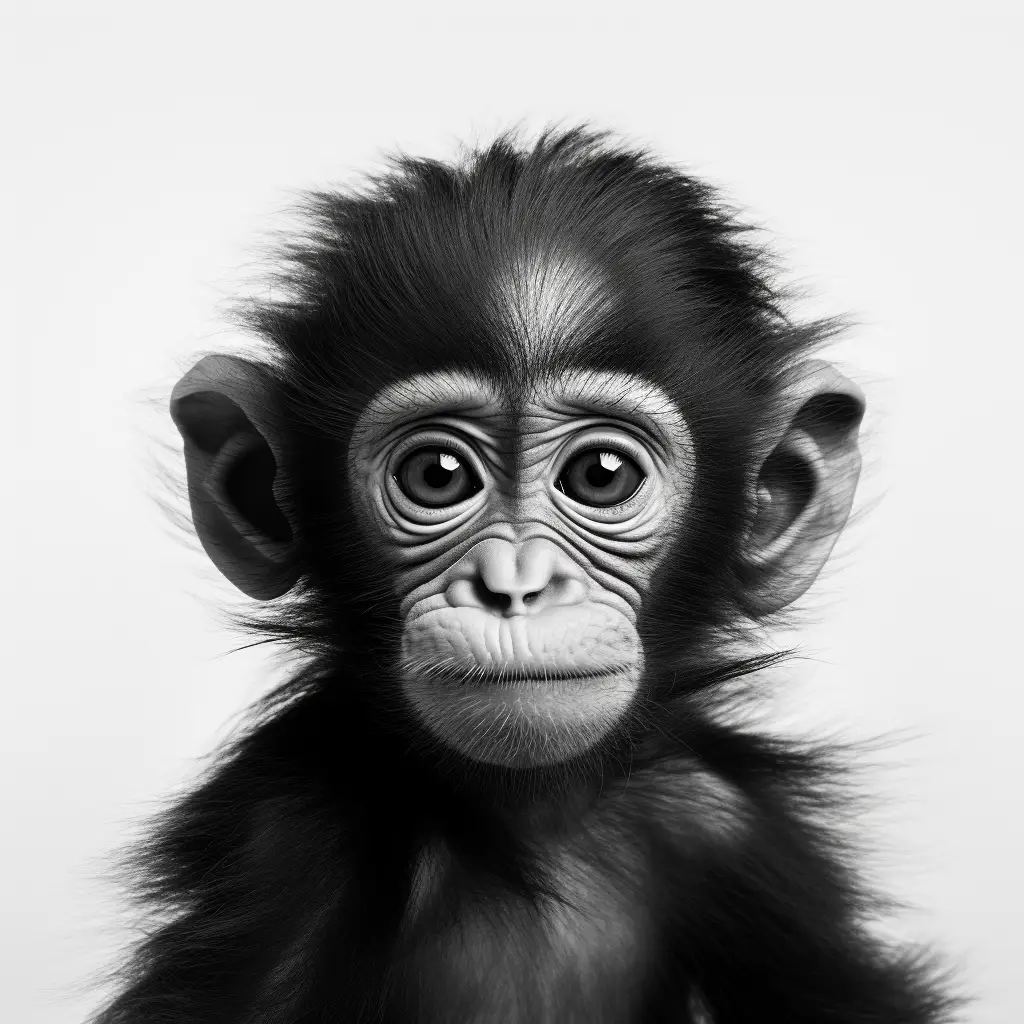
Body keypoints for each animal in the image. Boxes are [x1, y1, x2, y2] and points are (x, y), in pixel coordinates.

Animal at [94, 128, 959, 1023]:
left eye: (603, 475)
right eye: (437, 475)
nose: (515, 586)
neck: (526, 821)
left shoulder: (736, 830)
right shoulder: (280, 842)